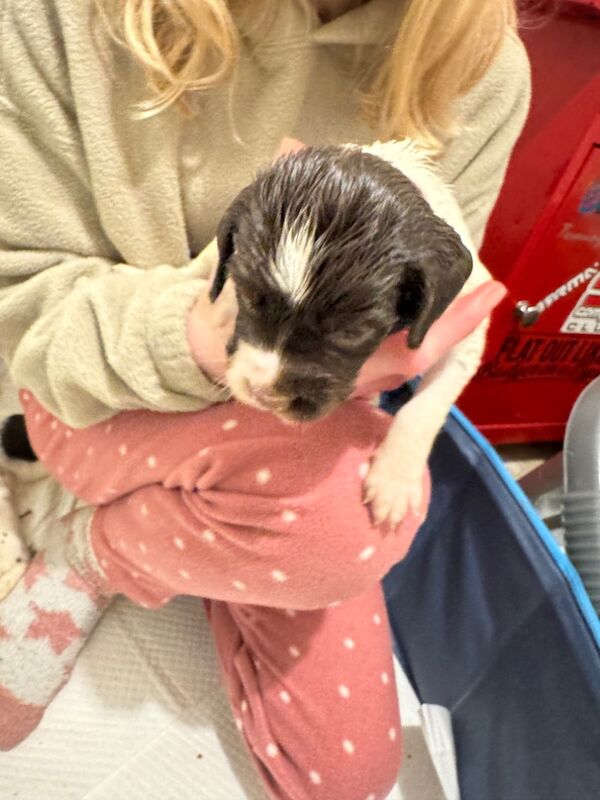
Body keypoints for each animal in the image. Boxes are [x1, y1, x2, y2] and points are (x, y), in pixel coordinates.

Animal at [211, 141, 492, 528]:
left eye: (353, 332)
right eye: (248, 294)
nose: (263, 394)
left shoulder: (464, 336)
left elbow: (422, 410)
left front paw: (394, 481)